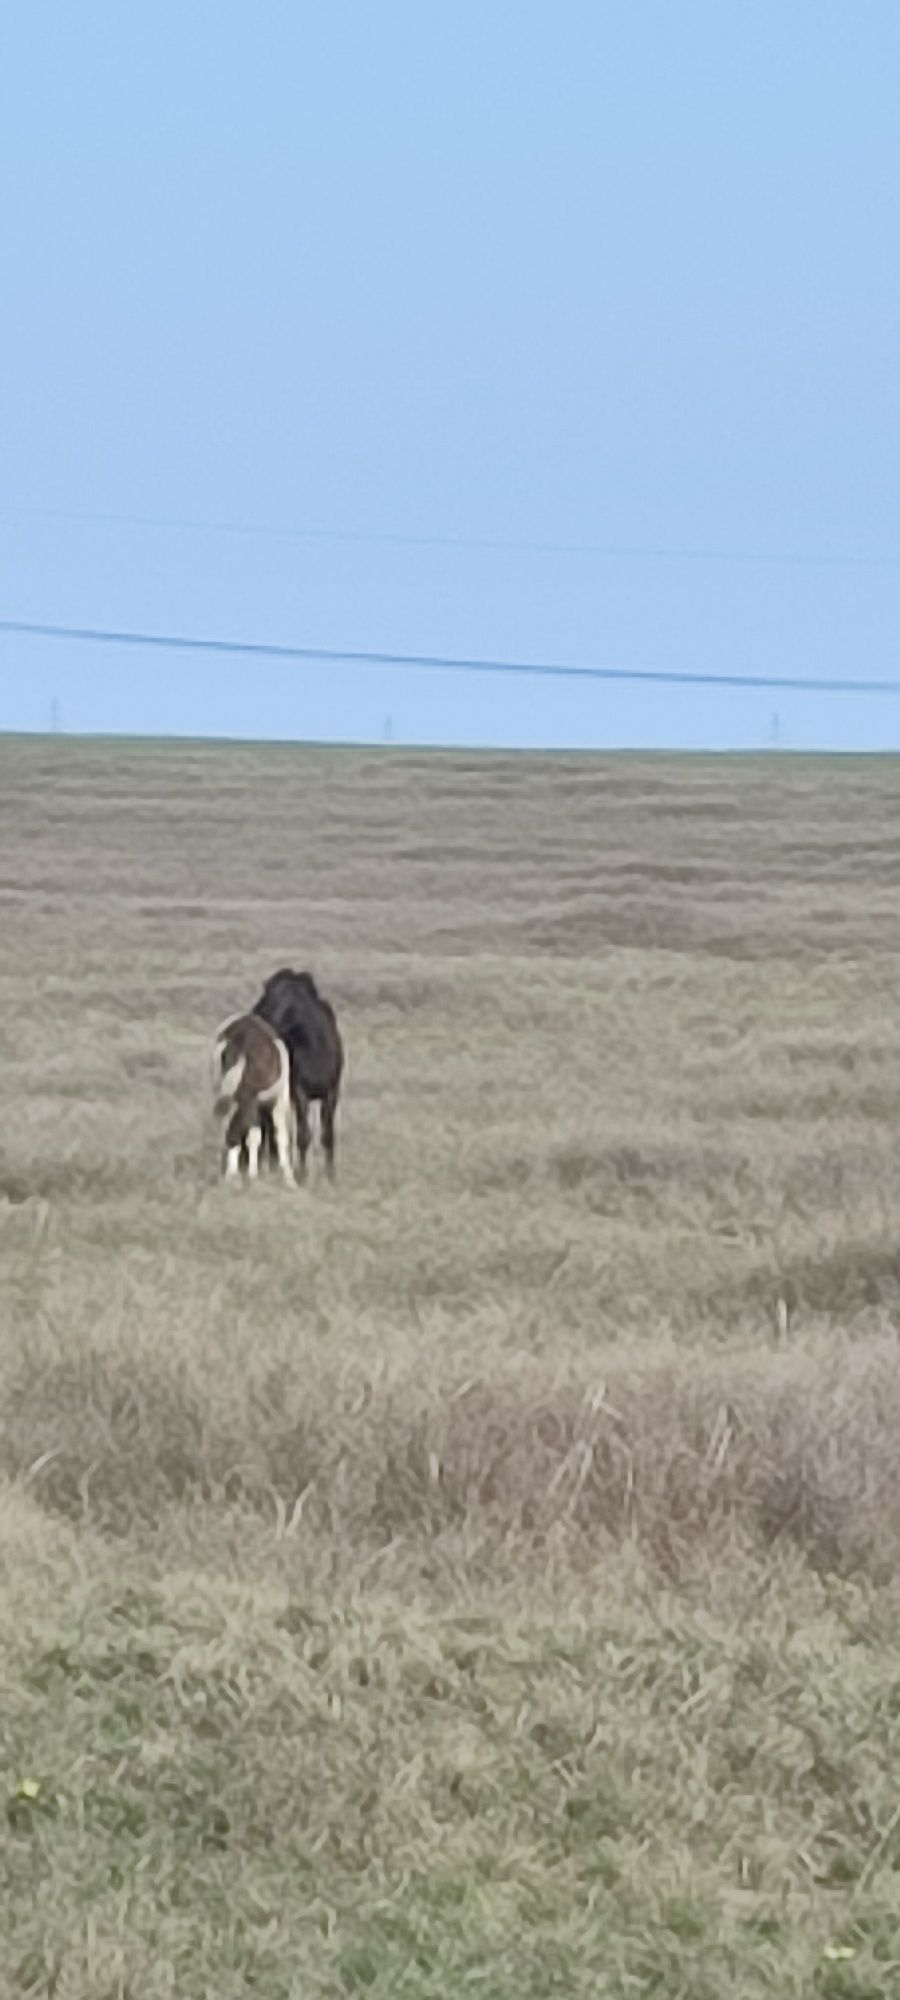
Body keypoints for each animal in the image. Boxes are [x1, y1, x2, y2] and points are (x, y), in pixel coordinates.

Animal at [253, 964, 344, 1168]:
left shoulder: (332, 1092)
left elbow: (328, 1136)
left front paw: (330, 1173)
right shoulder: (299, 1093)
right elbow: (304, 1136)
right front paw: (302, 1173)